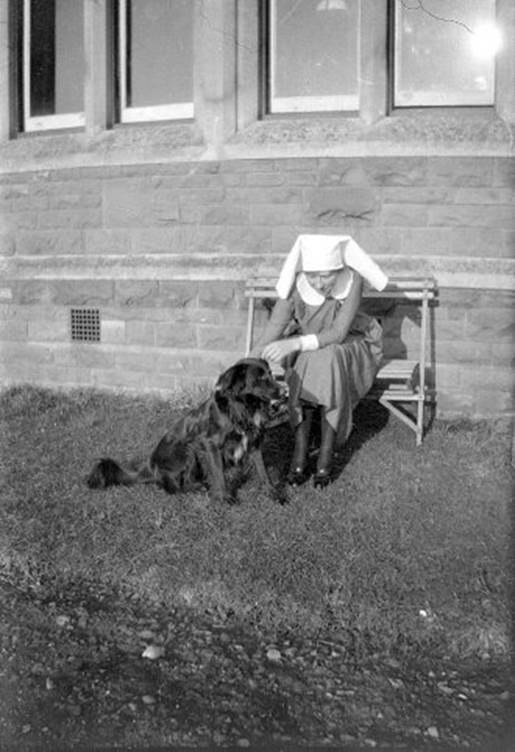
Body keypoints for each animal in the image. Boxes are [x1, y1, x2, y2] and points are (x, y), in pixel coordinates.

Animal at [86, 358, 284, 506]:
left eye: (271, 374)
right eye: (260, 378)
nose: (284, 392)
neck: (243, 409)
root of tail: (149, 467)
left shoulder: (254, 443)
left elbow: (263, 471)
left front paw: (272, 493)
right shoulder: (210, 444)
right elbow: (219, 473)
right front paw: (224, 498)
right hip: (188, 450)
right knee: (176, 488)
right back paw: (198, 489)